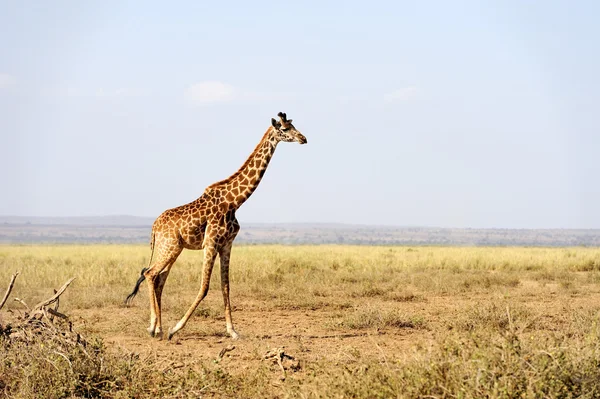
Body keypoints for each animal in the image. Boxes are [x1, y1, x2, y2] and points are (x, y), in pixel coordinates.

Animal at [125, 112, 308, 340]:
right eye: (284, 129)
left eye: (293, 125)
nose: (303, 138)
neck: (234, 202)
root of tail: (154, 227)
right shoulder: (211, 243)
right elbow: (204, 287)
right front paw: (175, 329)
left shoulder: (227, 245)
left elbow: (225, 287)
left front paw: (233, 331)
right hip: (170, 247)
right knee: (150, 274)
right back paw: (155, 329)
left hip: (172, 248)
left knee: (158, 279)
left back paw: (156, 327)